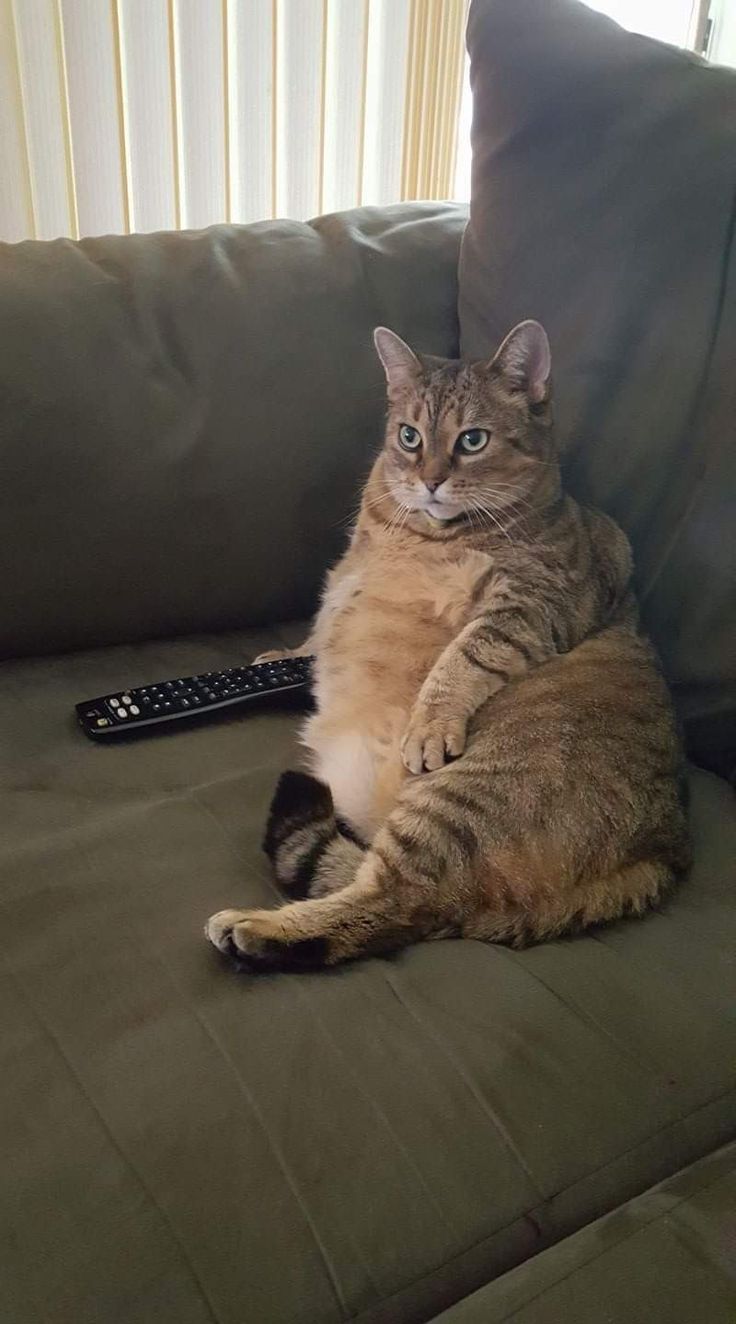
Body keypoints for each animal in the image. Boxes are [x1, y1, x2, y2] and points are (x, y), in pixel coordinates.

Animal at [203, 316, 688, 969]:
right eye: (409, 436)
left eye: (473, 440)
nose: (429, 480)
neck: (407, 529)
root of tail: (662, 852)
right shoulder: (347, 576)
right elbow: (321, 625)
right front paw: (284, 656)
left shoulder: (537, 599)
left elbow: (465, 655)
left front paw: (428, 723)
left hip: (454, 809)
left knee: (392, 907)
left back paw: (257, 927)